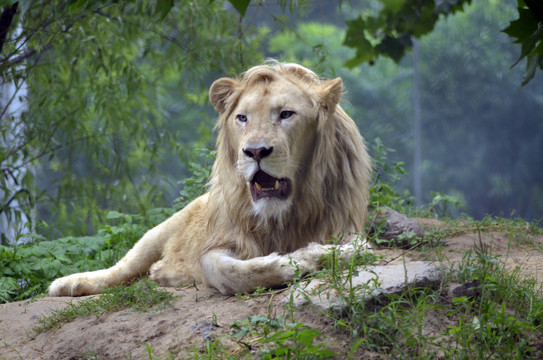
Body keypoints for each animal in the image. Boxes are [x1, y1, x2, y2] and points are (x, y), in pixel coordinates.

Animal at [47, 62, 374, 296]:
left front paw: (317, 254)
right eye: (242, 118)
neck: (281, 217)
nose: (255, 151)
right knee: (123, 267)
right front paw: (290, 261)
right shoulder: (223, 238)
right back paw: (69, 284)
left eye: (286, 114)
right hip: (160, 229)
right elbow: (224, 269)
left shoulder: (348, 228)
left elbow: (354, 249)